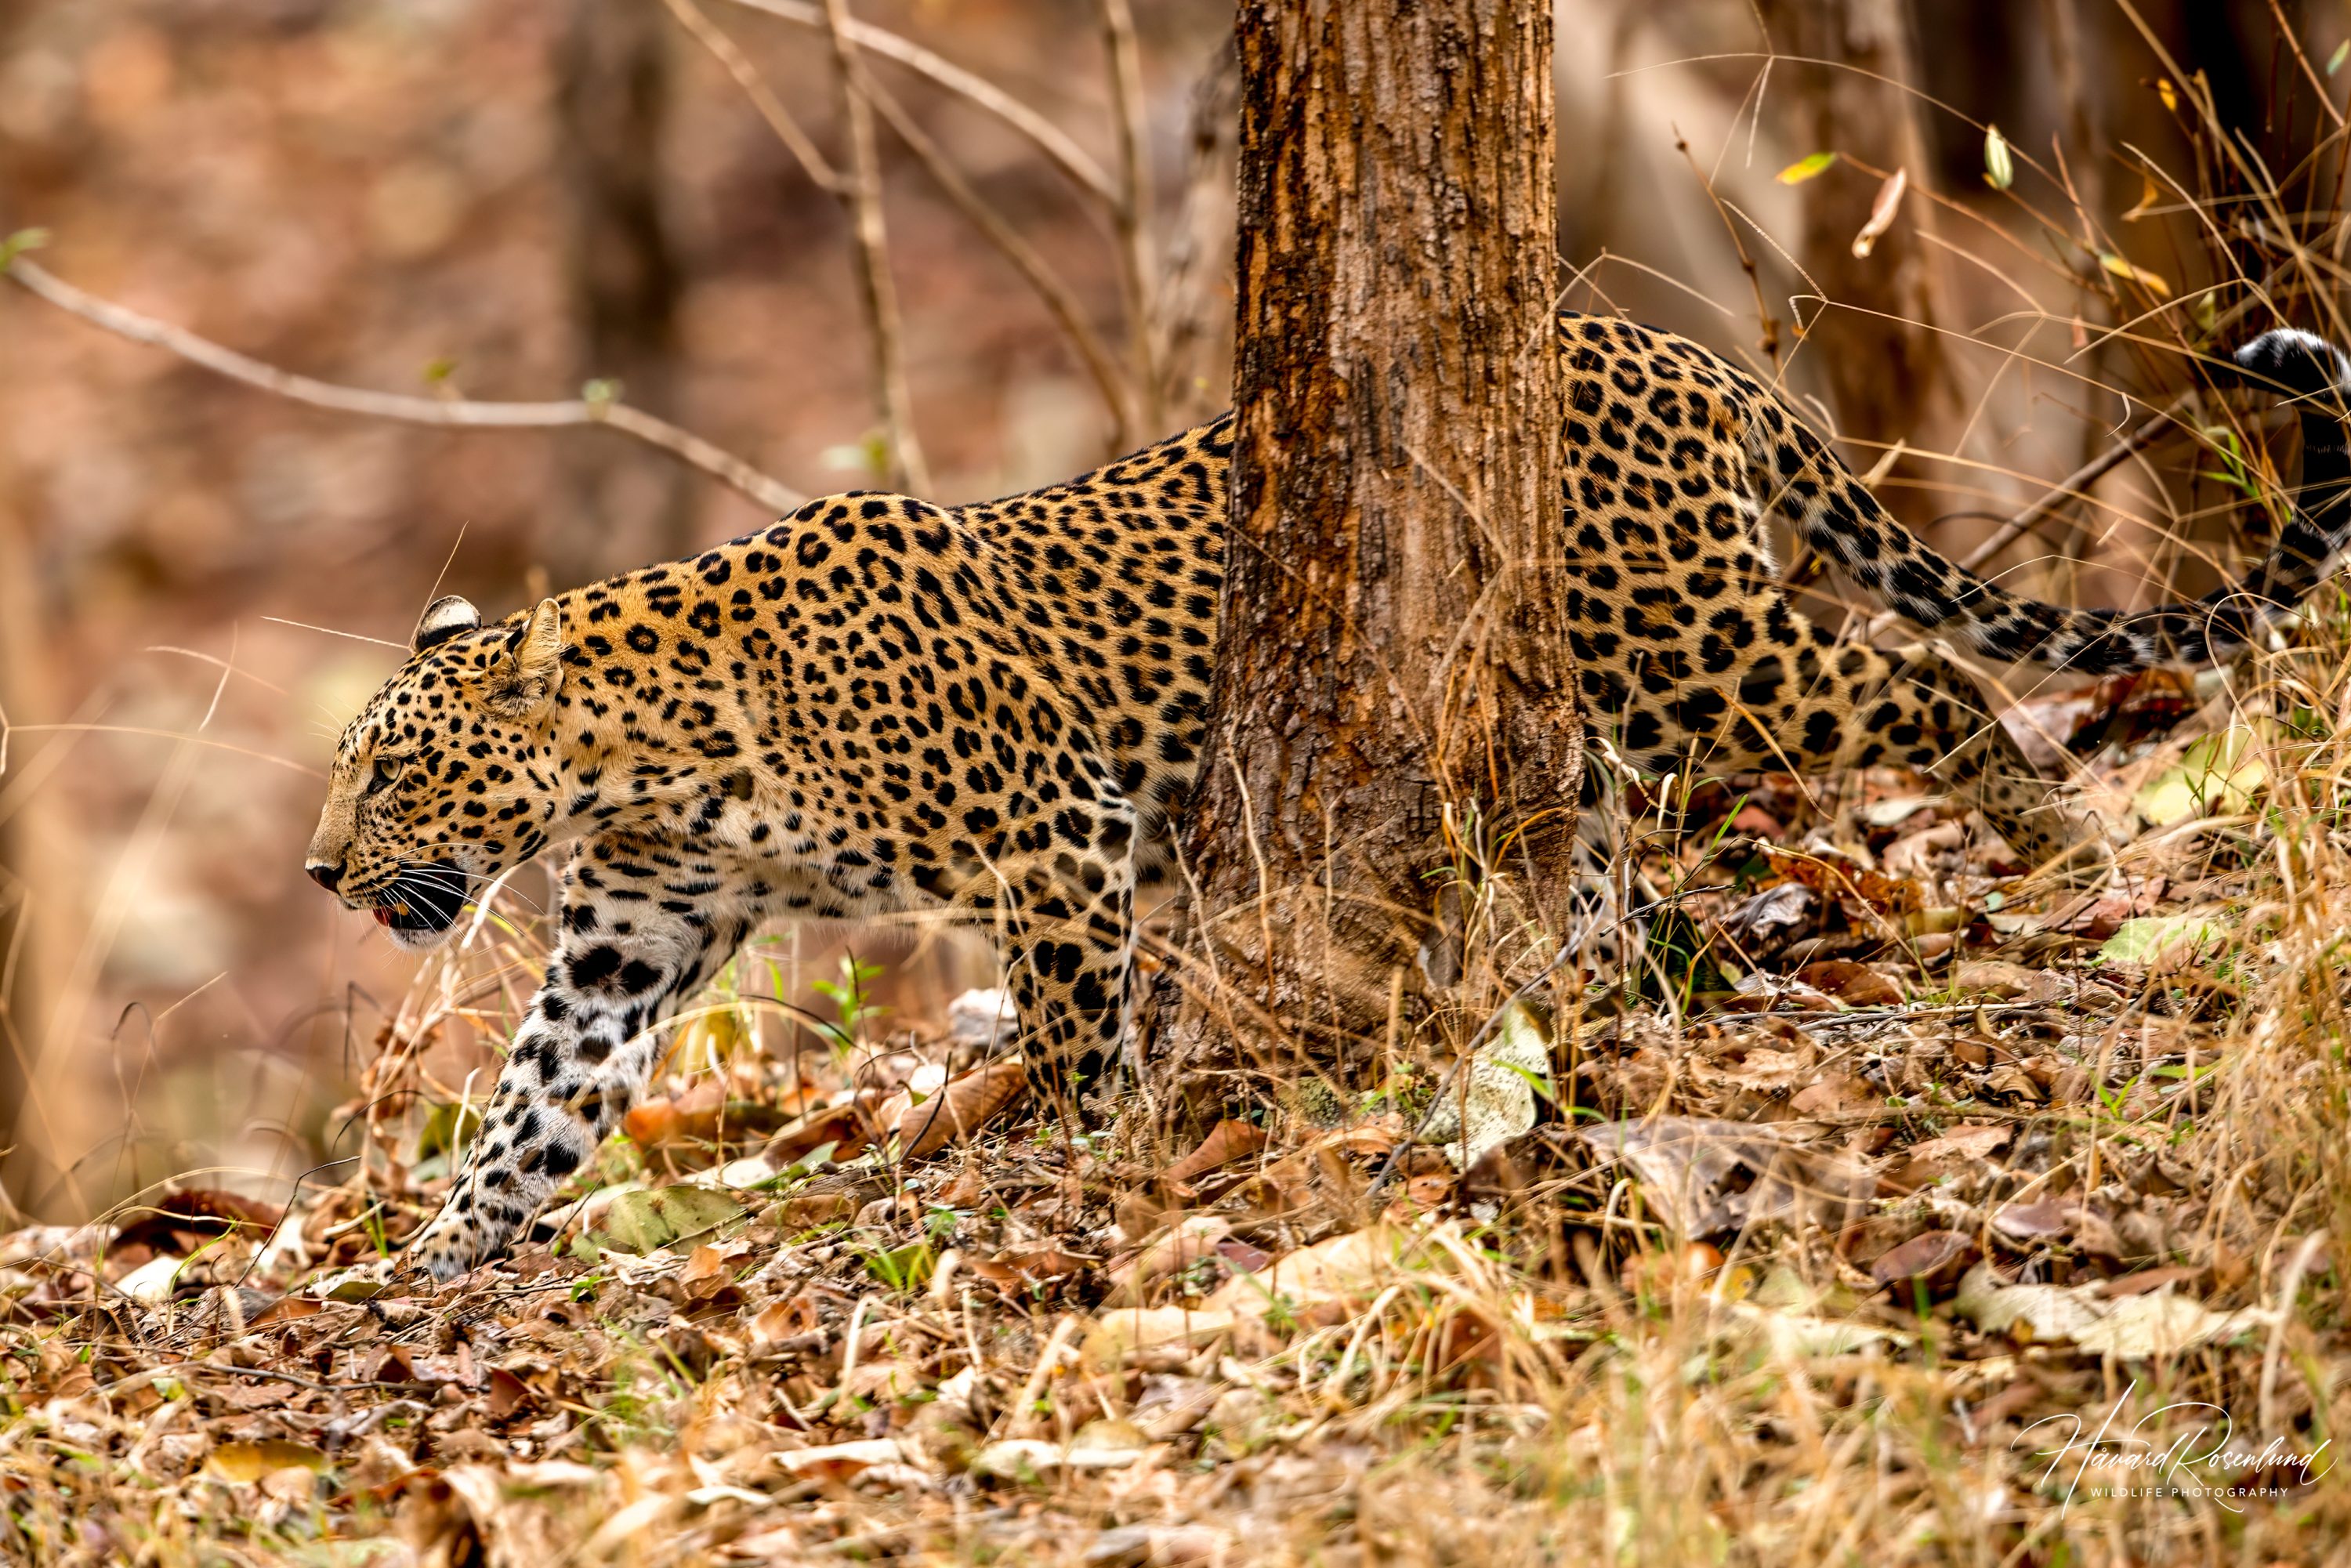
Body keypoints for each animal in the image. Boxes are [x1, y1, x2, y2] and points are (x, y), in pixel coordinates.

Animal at [304, 312, 2351, 1281]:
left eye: (394, 768)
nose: (323, 873)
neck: (639, 767)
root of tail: (1686, 353)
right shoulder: (629, 939)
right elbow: (532, 1109)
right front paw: (431, 1255)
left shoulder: (1055, 831)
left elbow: (1072, 1025)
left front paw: (1070, 1158)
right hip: (1598, 695)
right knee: (1608, 838)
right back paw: (1585, 985)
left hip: (1700, 644)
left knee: (1928, 684)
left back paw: (2054, 842)